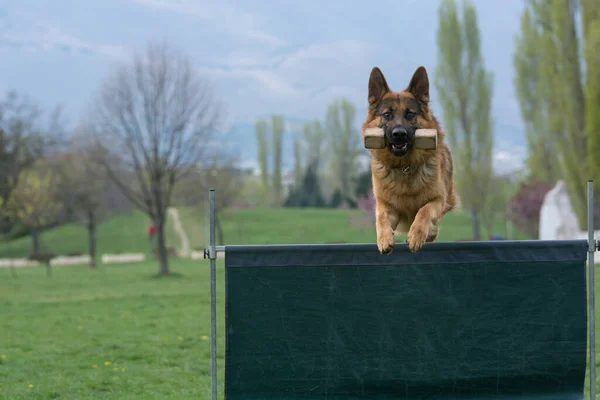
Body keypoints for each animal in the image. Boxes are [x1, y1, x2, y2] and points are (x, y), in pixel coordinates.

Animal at [360, 64, 460, 255]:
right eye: (387, 115)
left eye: (410, 114)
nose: (399, 134)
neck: (404, 166)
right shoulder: (386, 205)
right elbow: (381, 219)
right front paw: (384, 239)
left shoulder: (437, 199)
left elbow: (424, 211)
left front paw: (416, 236)